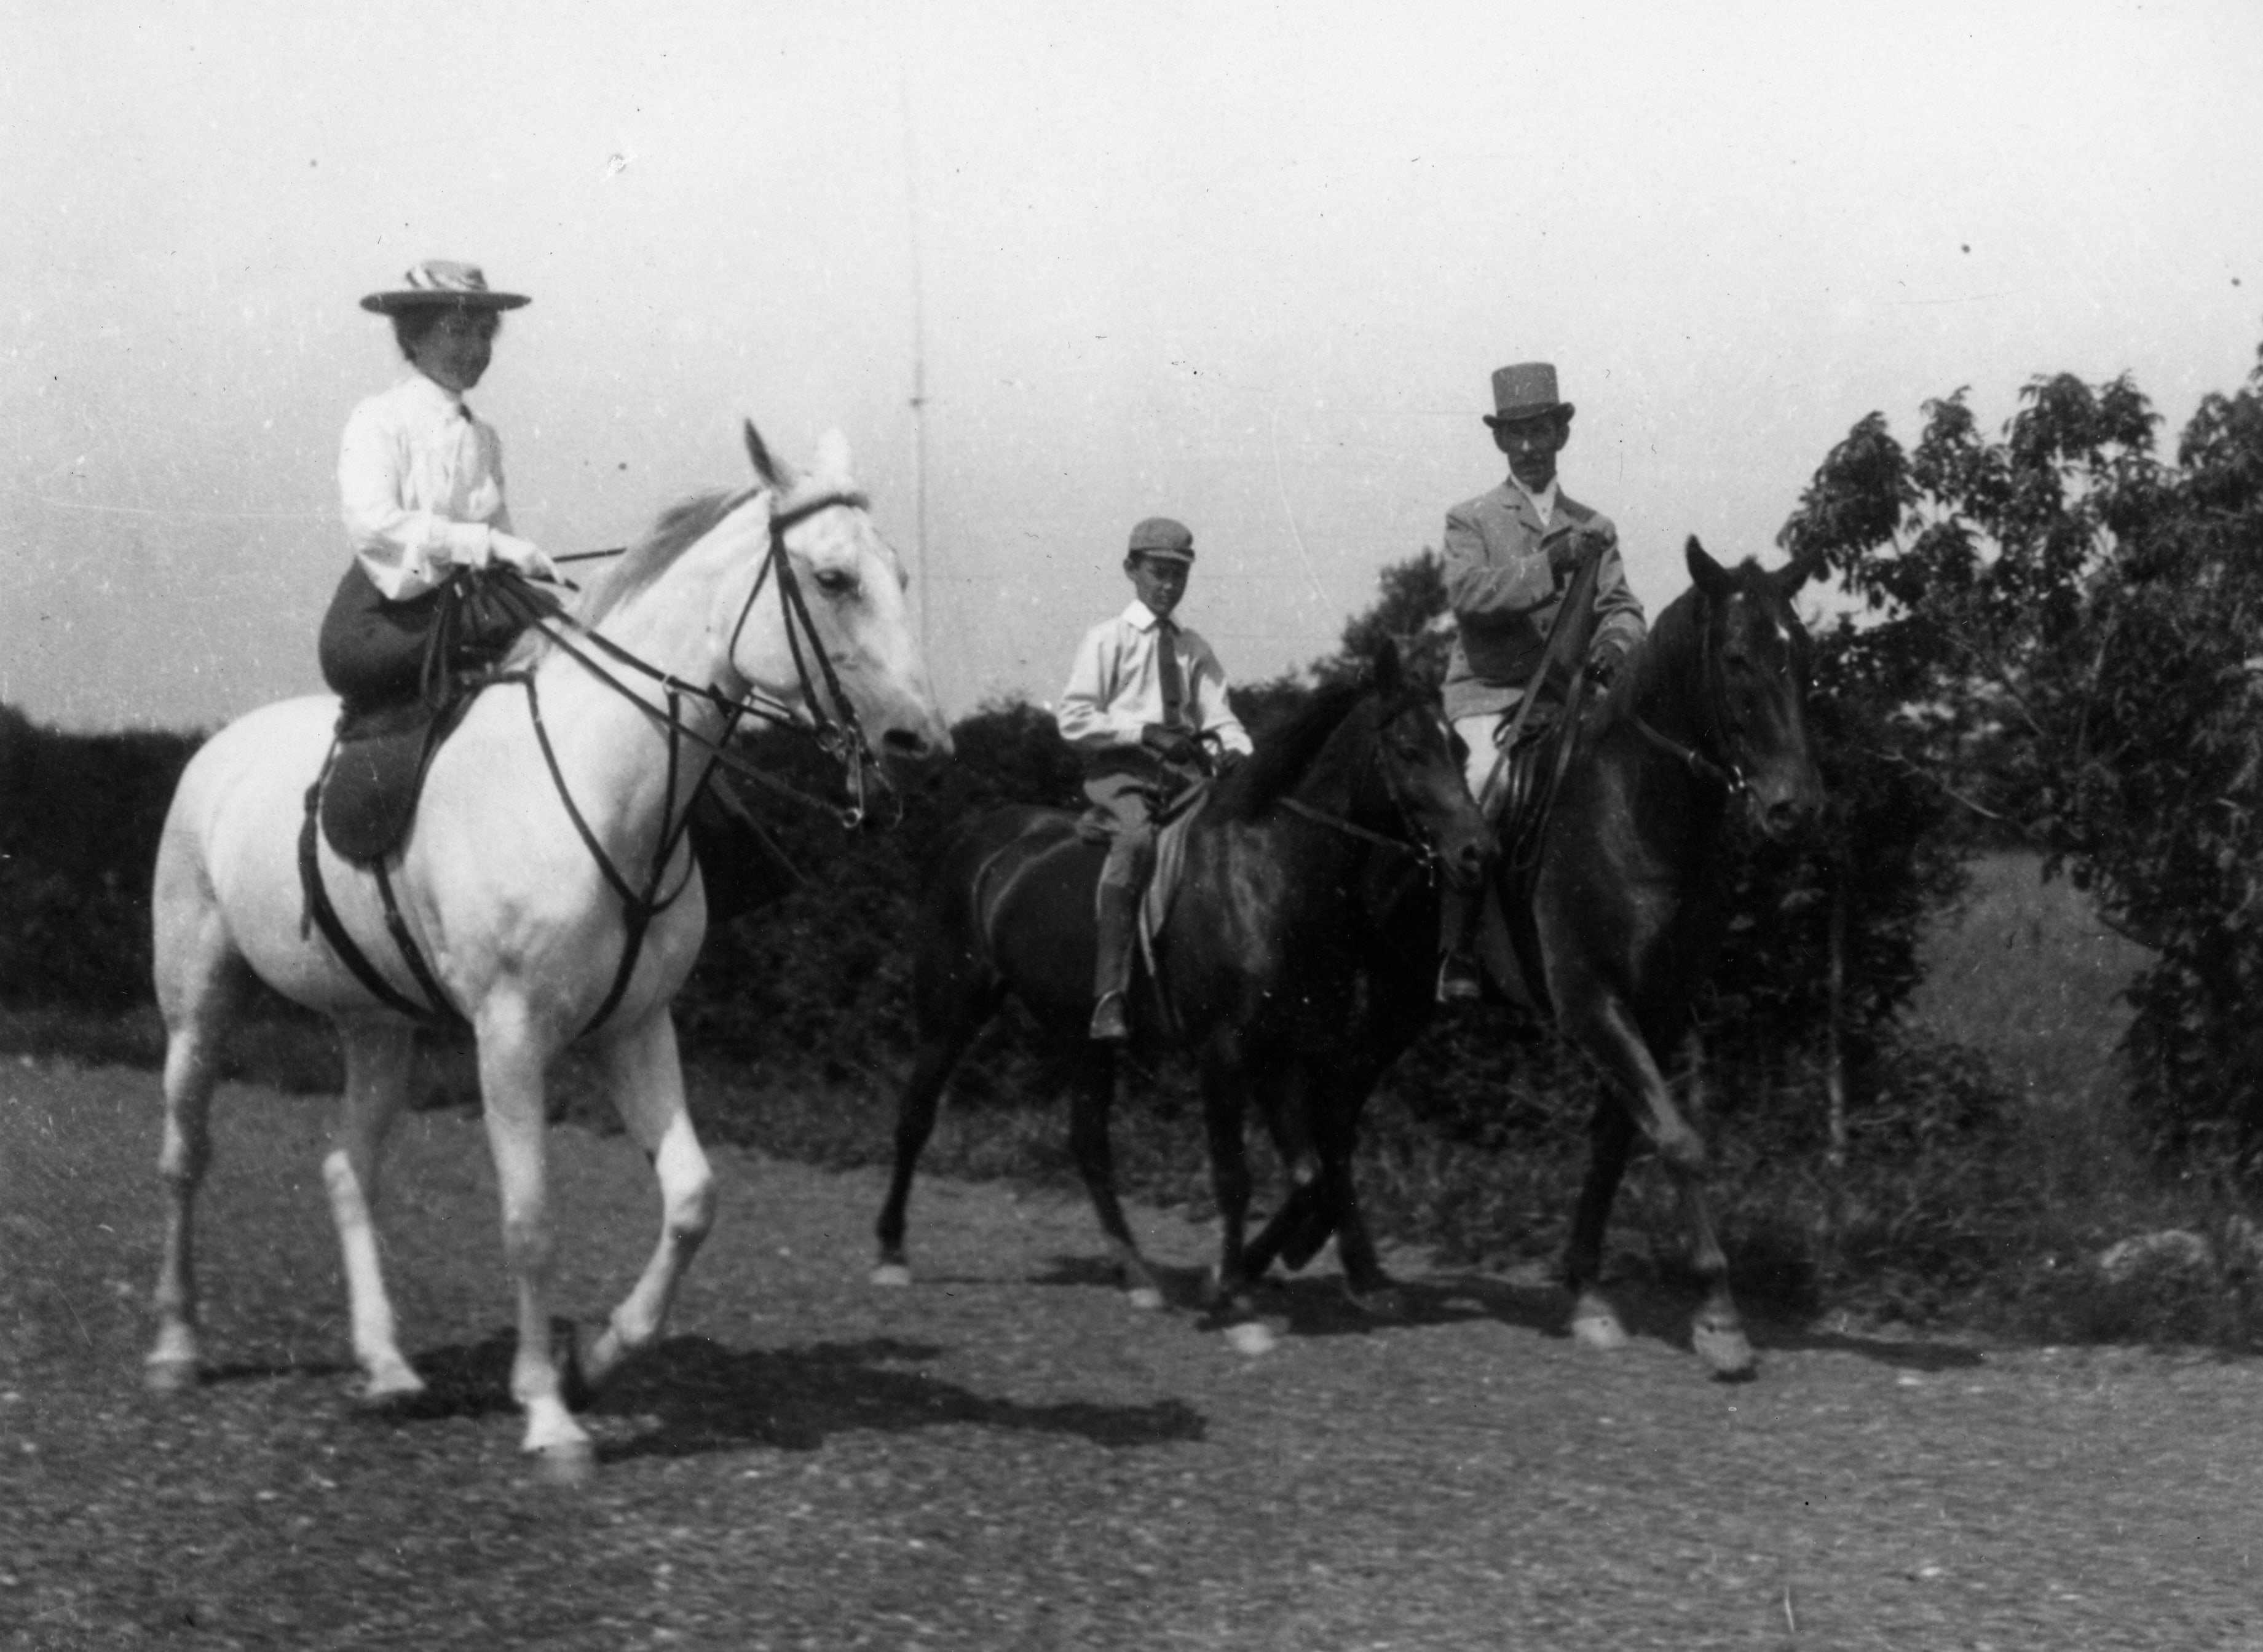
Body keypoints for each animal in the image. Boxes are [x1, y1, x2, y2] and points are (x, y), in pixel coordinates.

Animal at [148, 421, 946, 1466]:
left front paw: (592, 1361)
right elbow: (528, 1218)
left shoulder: (638, 1026)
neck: (605, 786)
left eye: (901, 571)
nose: (922, 743)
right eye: (833, 577)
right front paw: (549, 1411)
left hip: (377, 1026)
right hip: (199, 999)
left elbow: (692, 1198)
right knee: (185, 1154)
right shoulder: (511, 1033)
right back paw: (176, 1345)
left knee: (346, 1169)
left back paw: (388, 1365)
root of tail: (216, 750)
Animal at [873, 642, 1493, 1340]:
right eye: (1411, 748)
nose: (1479, 851)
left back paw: (1139, 1276)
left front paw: (1236, 1273)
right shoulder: (1222, 1054)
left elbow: (1307, 1173)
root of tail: (971, 839)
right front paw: (1234, 1299)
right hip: (952, 1011)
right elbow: (1234, 1176)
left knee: (1089, 1144)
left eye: (1458, 748)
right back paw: (892, 1252)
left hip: (1084, 1035)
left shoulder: (1284, 1050)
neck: (1267, 876)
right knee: (916, 1115)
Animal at [1240, 536, 1819, 1367]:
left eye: (1801, 656)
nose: (1793, 807)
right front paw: (1720, 1318)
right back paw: (1322, 1257)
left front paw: (1587, 1290)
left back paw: (1355, 1265)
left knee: (1340, 1097)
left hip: (1403, 995)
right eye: (1738, 658)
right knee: (1327, 1093)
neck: (1634, 813)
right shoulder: (1592, 1003)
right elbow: (1676, 1140)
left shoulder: (1657, 1010)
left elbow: (1617, 1142)